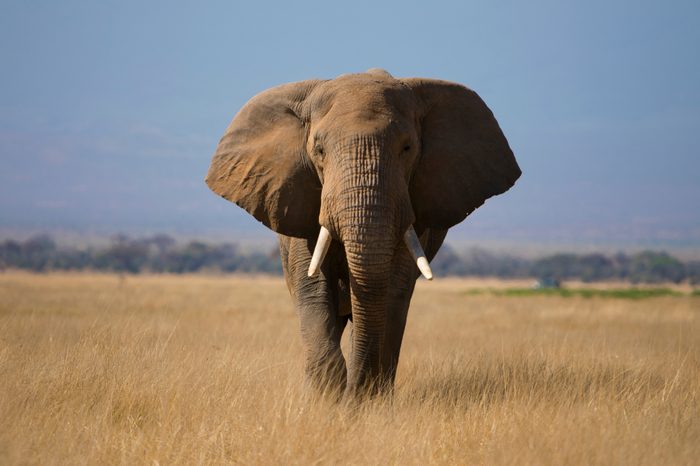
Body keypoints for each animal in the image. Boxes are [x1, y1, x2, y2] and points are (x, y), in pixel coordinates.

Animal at [204, 70, 520, 400]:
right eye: (319, 150)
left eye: (407, 148)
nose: (353, 395)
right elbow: (313, 287)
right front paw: (325, 400)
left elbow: (391, 290)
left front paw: (365, 401)